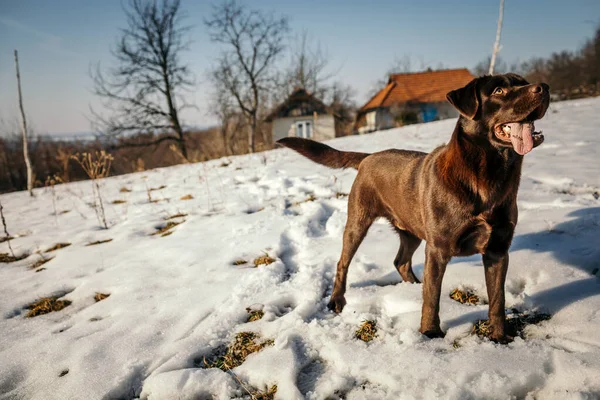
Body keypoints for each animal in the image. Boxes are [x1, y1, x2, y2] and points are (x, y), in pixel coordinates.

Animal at [278, 73, 552, 342]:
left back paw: (411, 287)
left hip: (411, 231)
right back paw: (337, 300)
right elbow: (432, 297)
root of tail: (368, 157)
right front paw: (430, 332)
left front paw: (499, 337)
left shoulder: (497, 251)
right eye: (498, 91)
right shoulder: (438, 249)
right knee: (343, 263)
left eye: (523, 82)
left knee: (401, 261)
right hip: (358, 222)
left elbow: (497, 299)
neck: (487, 178)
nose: (544, 87)